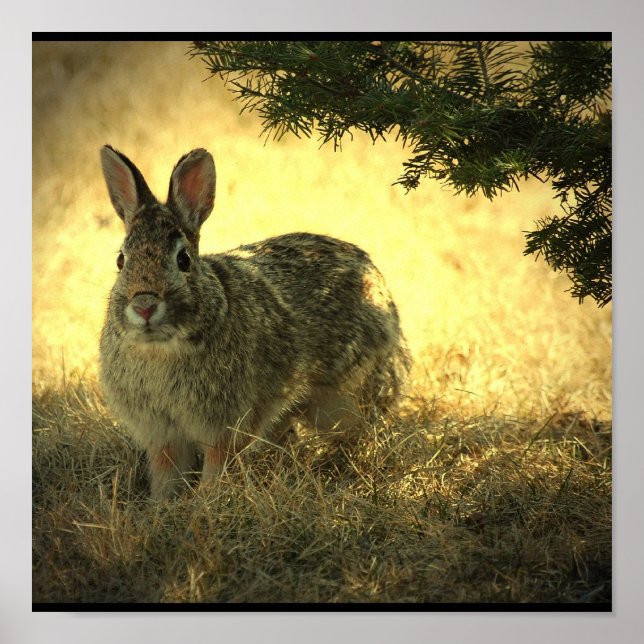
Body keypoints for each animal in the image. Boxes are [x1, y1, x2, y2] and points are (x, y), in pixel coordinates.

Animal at [99, 145, 411, 499]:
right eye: (121, 260)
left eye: (183, 259)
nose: (145, 306)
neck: (161, 348)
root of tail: (380, 287)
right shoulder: (163, 434)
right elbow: (167, 471)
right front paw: (162, 505)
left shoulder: (227, 424)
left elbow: (218, 464)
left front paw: (208, 500)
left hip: (341, 400)